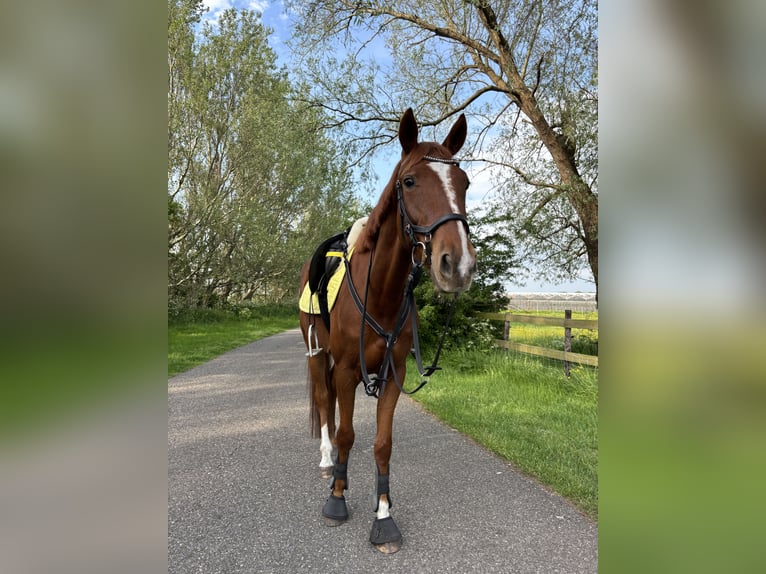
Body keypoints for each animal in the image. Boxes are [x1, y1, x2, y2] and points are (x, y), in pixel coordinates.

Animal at [298, 108, 474, 552]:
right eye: (409, 181)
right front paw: (337, 498)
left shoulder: (395, 374)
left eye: (464, 183)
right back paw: (327, 461)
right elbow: (346, 433)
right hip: (316, 355)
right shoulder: (346, 370)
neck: (379, 291)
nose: (458, 265)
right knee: (324, 401)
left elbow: (382, 443)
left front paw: (383, 514)